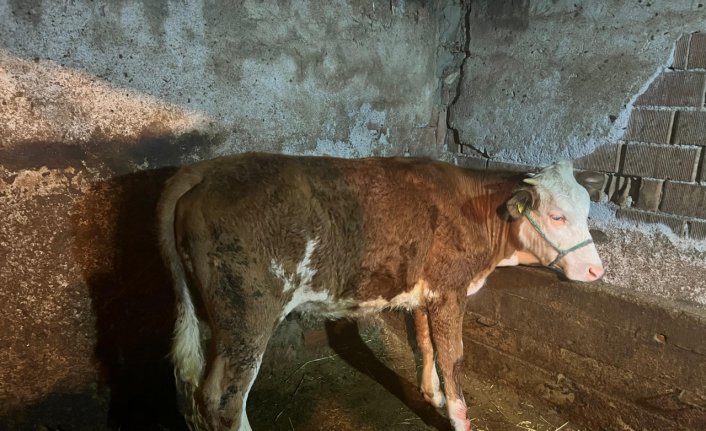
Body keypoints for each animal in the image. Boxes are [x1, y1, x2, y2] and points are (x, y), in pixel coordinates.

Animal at [157, 154, 604, 430]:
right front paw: (459, 416)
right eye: (556, 216)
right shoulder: (450, 290)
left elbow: (425, 343)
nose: (595, 270)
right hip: (247, 314)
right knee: (224, 399)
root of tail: (205, 169)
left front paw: (432, 395)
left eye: (586, 212)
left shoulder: (426, 292)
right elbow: (453, 357)